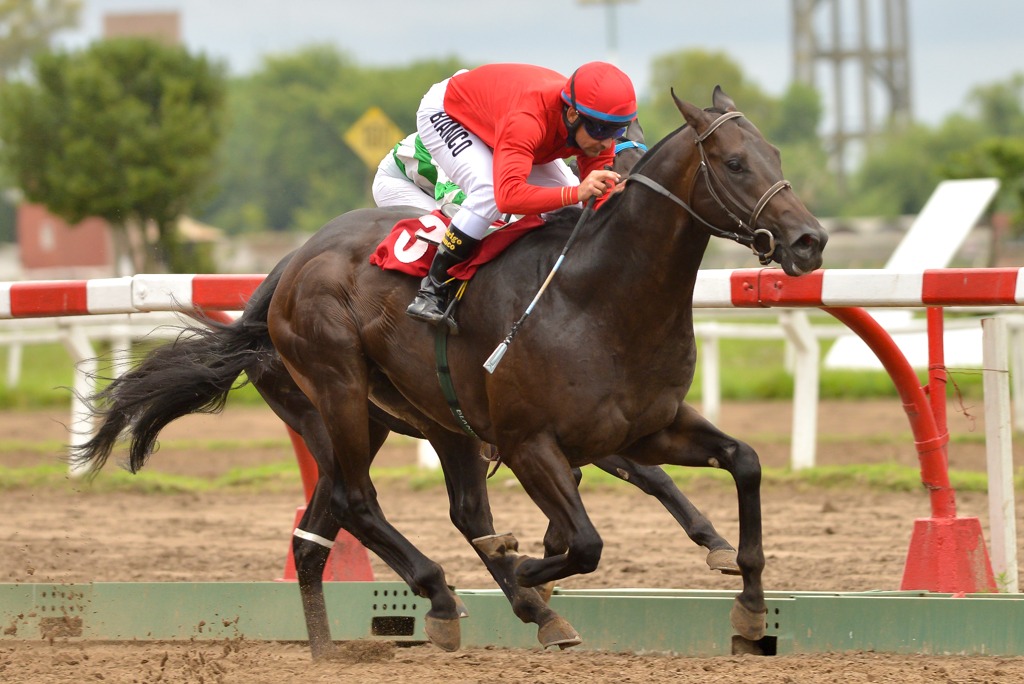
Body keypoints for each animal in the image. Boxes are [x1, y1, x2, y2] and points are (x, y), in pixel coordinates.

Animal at [73, 86, 826, 656]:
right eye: (735, 162)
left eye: (775, 154)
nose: (809, 240)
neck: (600, 294)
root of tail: (287, 268)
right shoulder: (530, 443)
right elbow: (582, 541)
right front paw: (529, 573)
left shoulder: (646, 427)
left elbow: (745, 462)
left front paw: (750, 606)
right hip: (338, 391)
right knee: (359, 500)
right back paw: (451, 596)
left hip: (411, 417)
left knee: (342, 522)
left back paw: (332, 646)